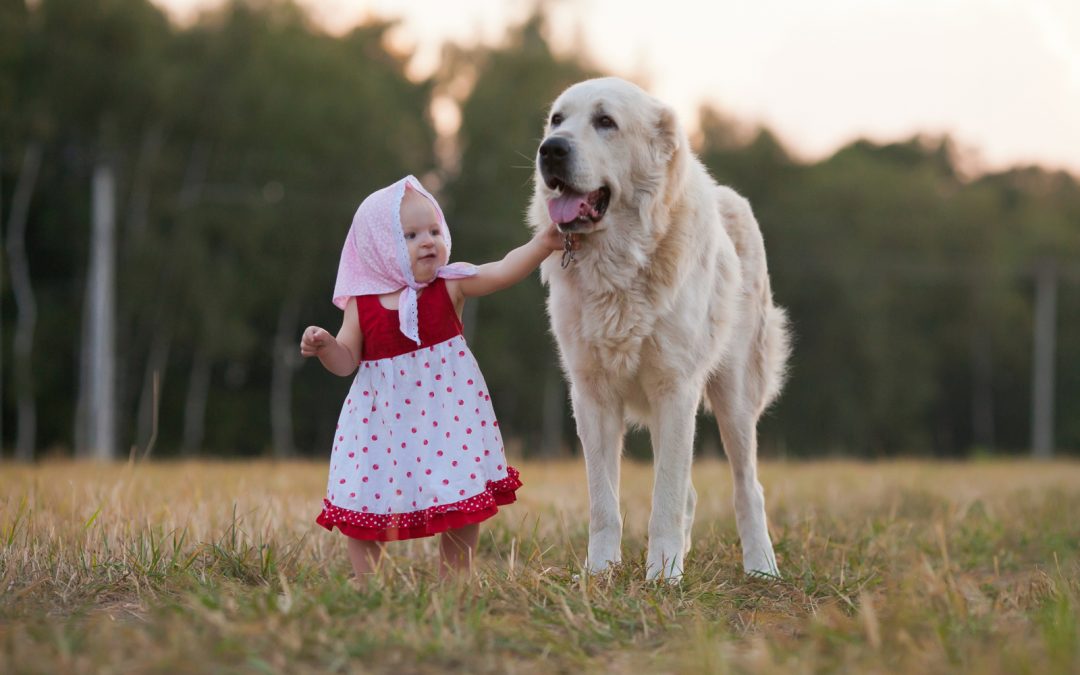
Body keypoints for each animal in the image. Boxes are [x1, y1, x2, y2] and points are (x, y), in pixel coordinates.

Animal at [529, 75, 790, 578]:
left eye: (605, 121)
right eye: (557, 120)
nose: (550, 150)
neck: (620, 266)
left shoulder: (675, 388)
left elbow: (664, 499)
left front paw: (664, 577)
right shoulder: (591, 396)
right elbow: (603, 503)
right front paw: (600, 572)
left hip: (734, 397)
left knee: (748, 487)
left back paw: (761, 567)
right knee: (691, 491)